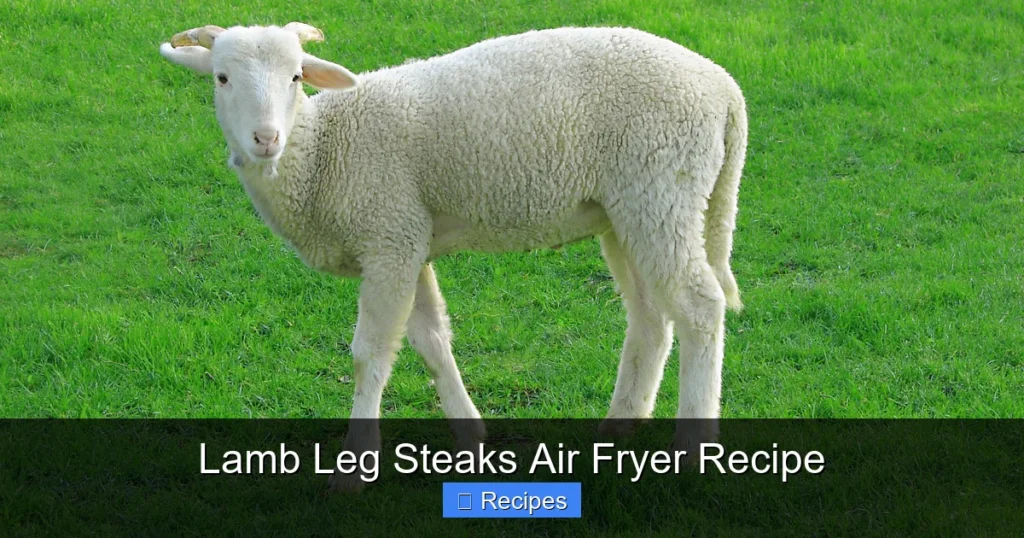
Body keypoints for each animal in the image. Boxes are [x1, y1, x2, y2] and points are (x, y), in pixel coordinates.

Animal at [159, 22, 748, 490]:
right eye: (221, 78)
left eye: (297, 78)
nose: (266, 138)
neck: (320, 149)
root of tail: (724, 88)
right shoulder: (407, 239)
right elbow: (431, 341)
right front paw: (470, 433)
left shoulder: (388, 236)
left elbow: (370, 355)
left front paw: (354, 467)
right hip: (627, 209)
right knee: (651, 318)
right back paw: (621, 422)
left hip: (662, 186)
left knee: (699, 307)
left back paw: (693, 449)